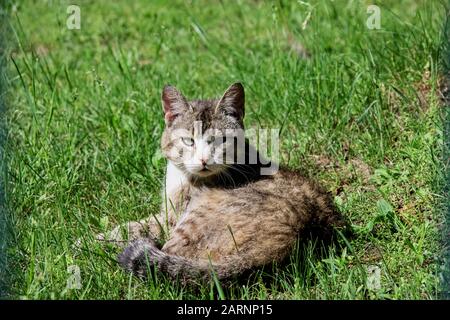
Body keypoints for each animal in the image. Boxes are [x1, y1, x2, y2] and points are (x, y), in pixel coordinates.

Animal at [117, 82, 348, 282]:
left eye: (220, 140)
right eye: (188, 141)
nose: (203, 159)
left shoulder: (172, 217)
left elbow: (148, 224)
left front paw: (114, 233)